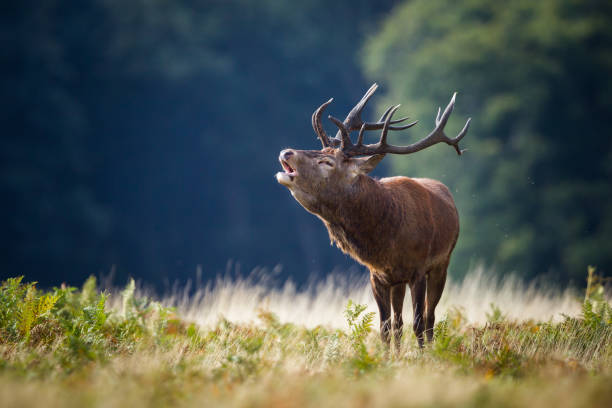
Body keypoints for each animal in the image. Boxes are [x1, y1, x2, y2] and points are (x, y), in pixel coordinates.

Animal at [274, 83, 470, 348]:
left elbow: (419, 323)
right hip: (399, 282)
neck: (387, 240)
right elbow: (385, 328)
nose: (286, 152)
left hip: (442, 264)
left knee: (430, 318)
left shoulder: (418, 269)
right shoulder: (378, 275)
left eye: (327, 161)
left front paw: (423, 356)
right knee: (398, 323)